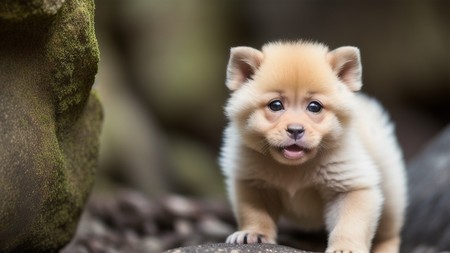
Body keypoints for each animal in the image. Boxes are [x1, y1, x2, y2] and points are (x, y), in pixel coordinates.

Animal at [221, 40, 408, 253]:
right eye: (275, 105)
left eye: (314, 106)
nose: (295, 130)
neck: (293, 169)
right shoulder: (252, 182)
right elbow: (256, 214)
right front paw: (253, 234)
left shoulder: (352, 186)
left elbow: (349, 224)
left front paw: (345, 247)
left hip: (392, 197)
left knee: (389, 233)